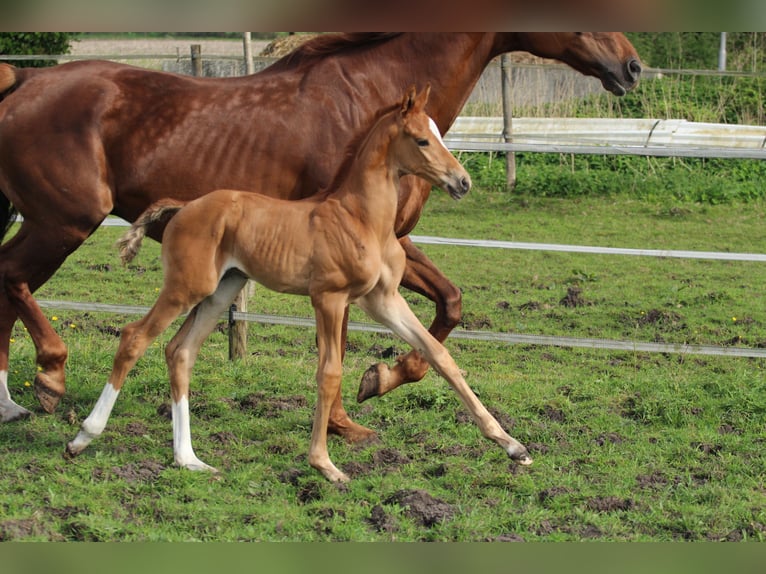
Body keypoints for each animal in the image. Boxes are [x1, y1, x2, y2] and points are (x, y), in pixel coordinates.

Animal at [0, 33, 640, 440]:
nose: (632, 66)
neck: (367, 90)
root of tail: (23, 77)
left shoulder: (390, 249)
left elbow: (449, 307)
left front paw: (376, 383)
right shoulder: (360, 254)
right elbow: (357, 337)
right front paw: (349, 411)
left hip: (44, 221)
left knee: (8, 283)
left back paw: (11, 402)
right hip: (65, 221)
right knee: (12, 277)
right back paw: (50, 374)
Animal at [67, 85, 536, 482]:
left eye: (439, 134)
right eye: (422, 140)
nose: (463, 182)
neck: (361, 218)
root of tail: (183, 206)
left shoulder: (382, 300)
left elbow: (440, 356)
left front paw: (513, 446)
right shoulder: (329, 298)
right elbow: (328, 372)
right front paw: (324, 464)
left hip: (222, 291)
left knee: (180, 352)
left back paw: (190, 460)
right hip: (186, 288)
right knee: (134, 337)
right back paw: (84, 437)